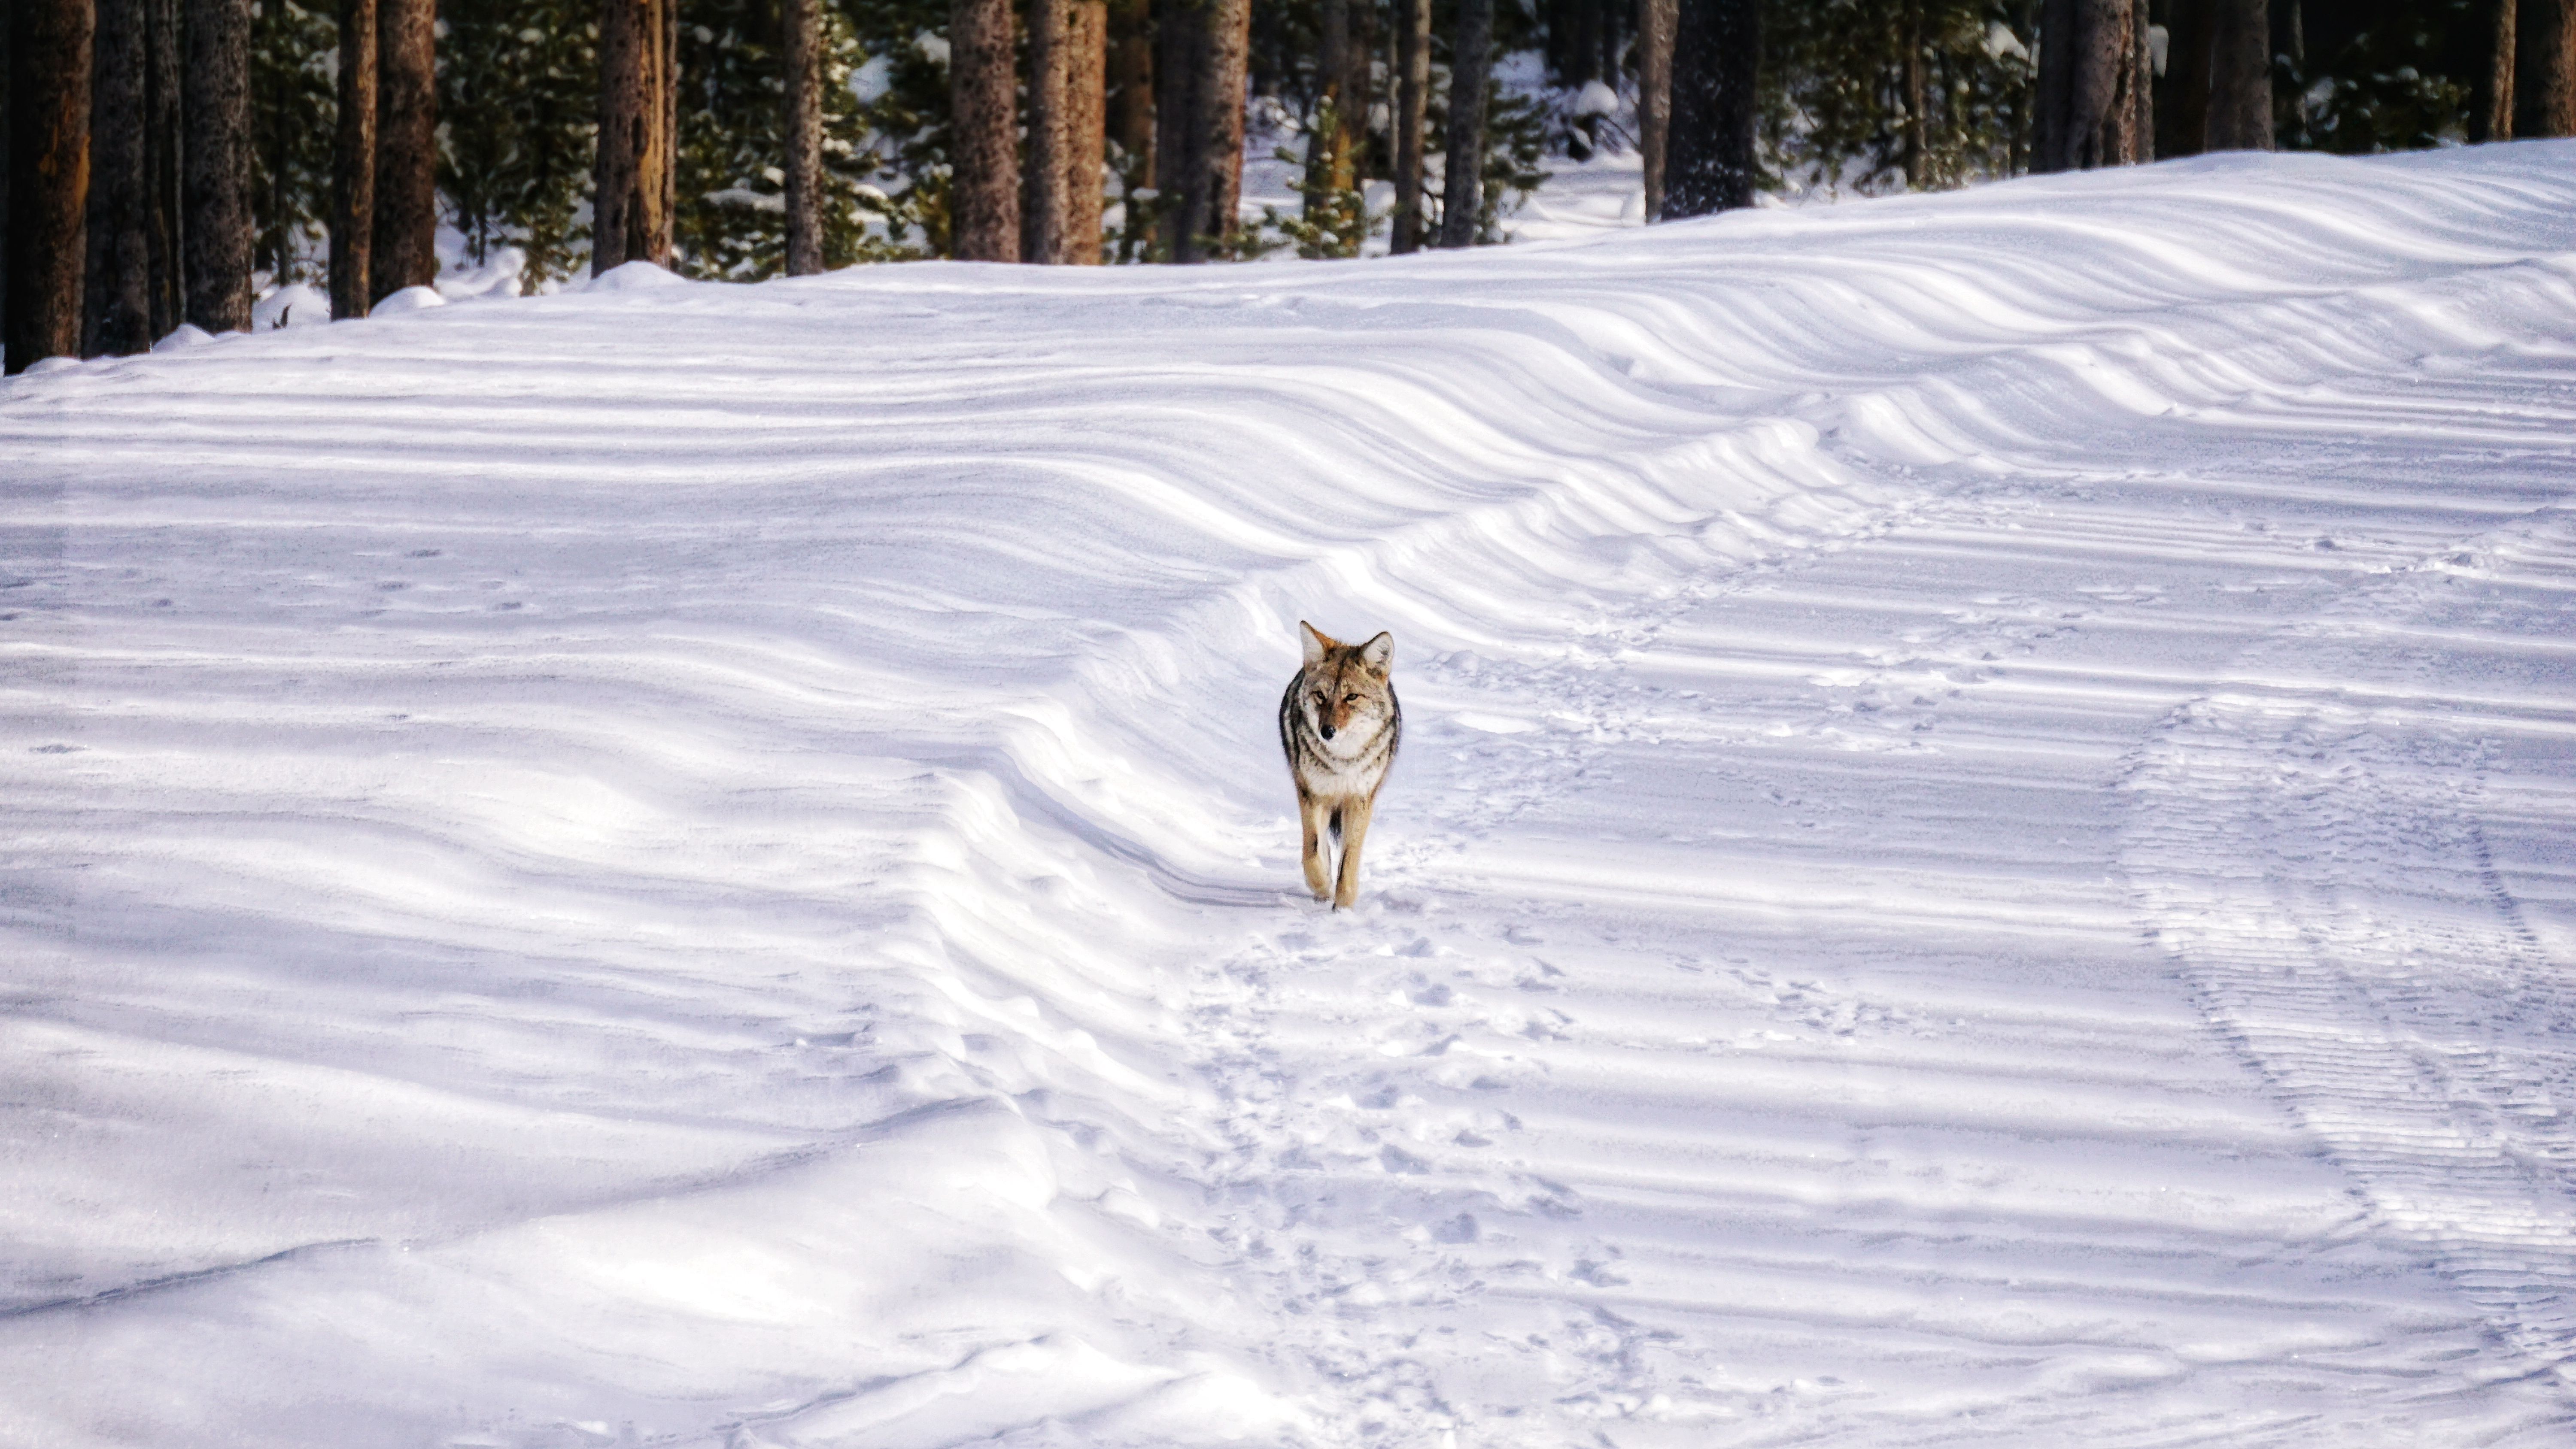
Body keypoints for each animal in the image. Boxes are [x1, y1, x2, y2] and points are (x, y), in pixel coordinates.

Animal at [1279, 621, 1401, 909]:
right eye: (1321, 696)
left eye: (1352, 697)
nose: (1327, 732)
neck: (1343, 762)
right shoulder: (1313, 795)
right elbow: (1313, 853)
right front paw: (1322, 887)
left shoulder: (1360, 800)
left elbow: (1349, 860)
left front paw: (1343, 908)